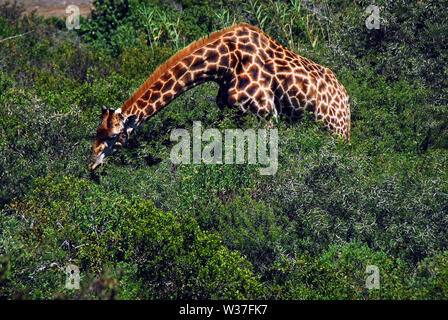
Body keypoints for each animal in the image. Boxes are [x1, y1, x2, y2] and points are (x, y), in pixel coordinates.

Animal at [89, 23, 352, 170]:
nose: (91, 164)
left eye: (113, 136)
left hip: (335, 132)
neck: (224, 64)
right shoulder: (232, 115)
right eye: (97, 131)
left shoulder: (266, 115)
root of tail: (346, 102)